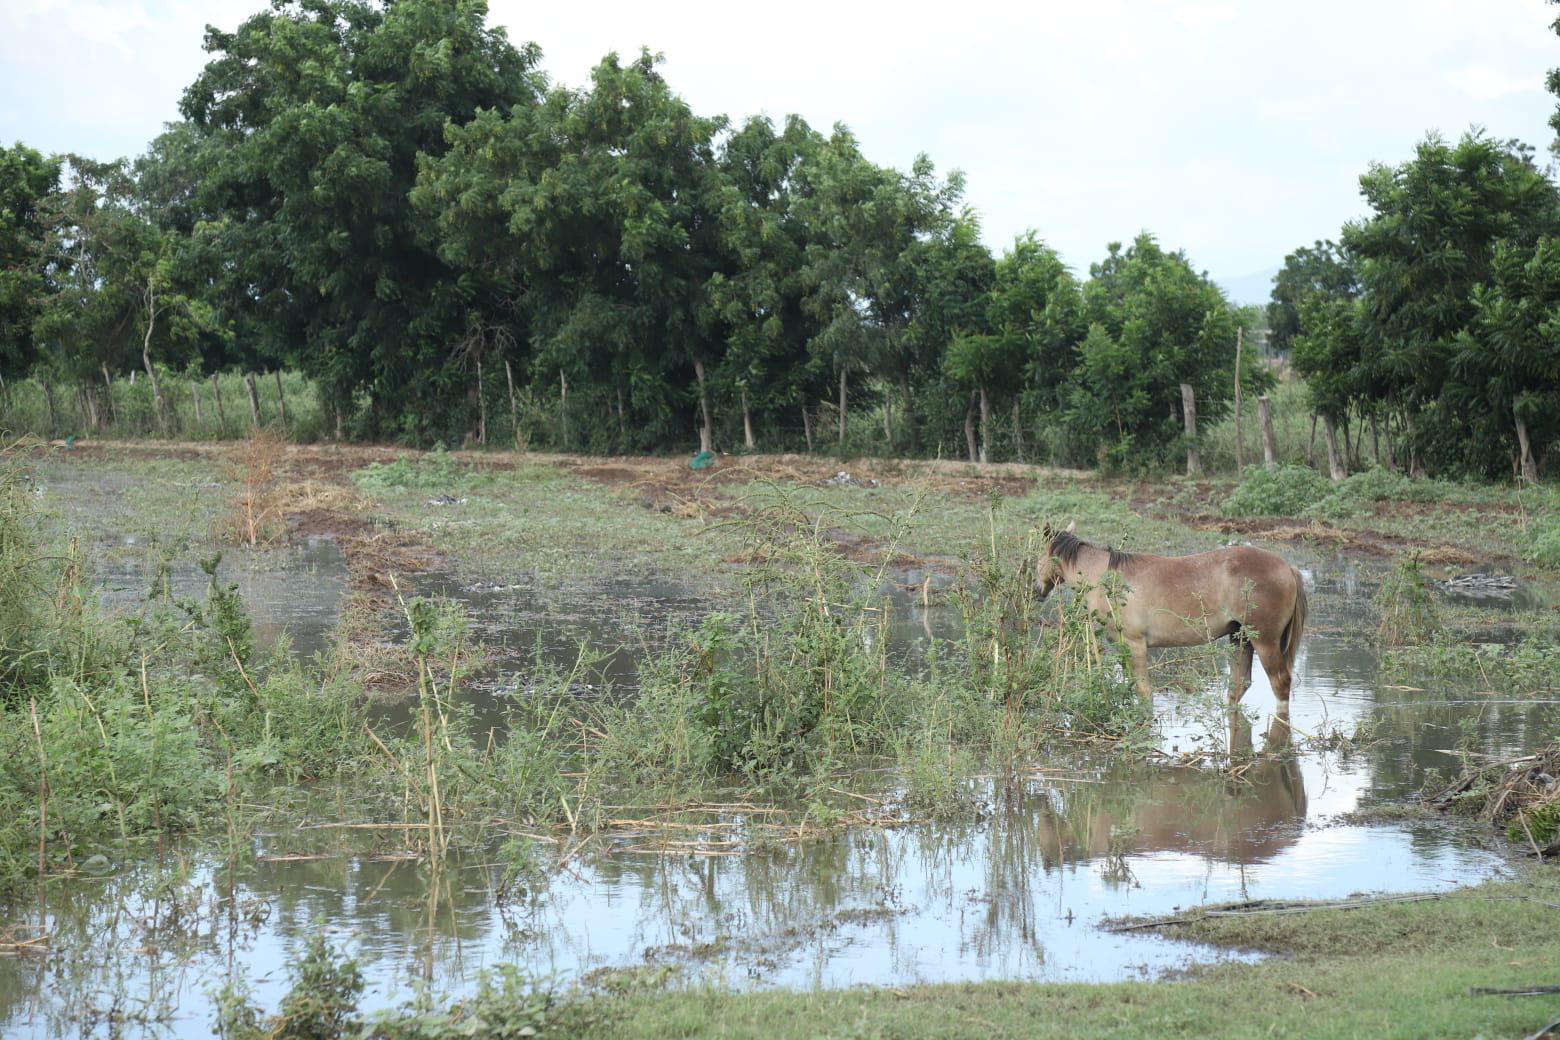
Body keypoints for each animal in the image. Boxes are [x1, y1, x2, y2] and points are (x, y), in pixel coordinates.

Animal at [1042, 523, 1310, 711]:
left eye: (1039, 555)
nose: (1038, 590)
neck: (1109, 579)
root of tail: (1288, 568)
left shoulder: (1136, 645)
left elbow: (1144, 693)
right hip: (1240, 637)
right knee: (1239, 685)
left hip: (1265, 641)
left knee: (1280, 683)